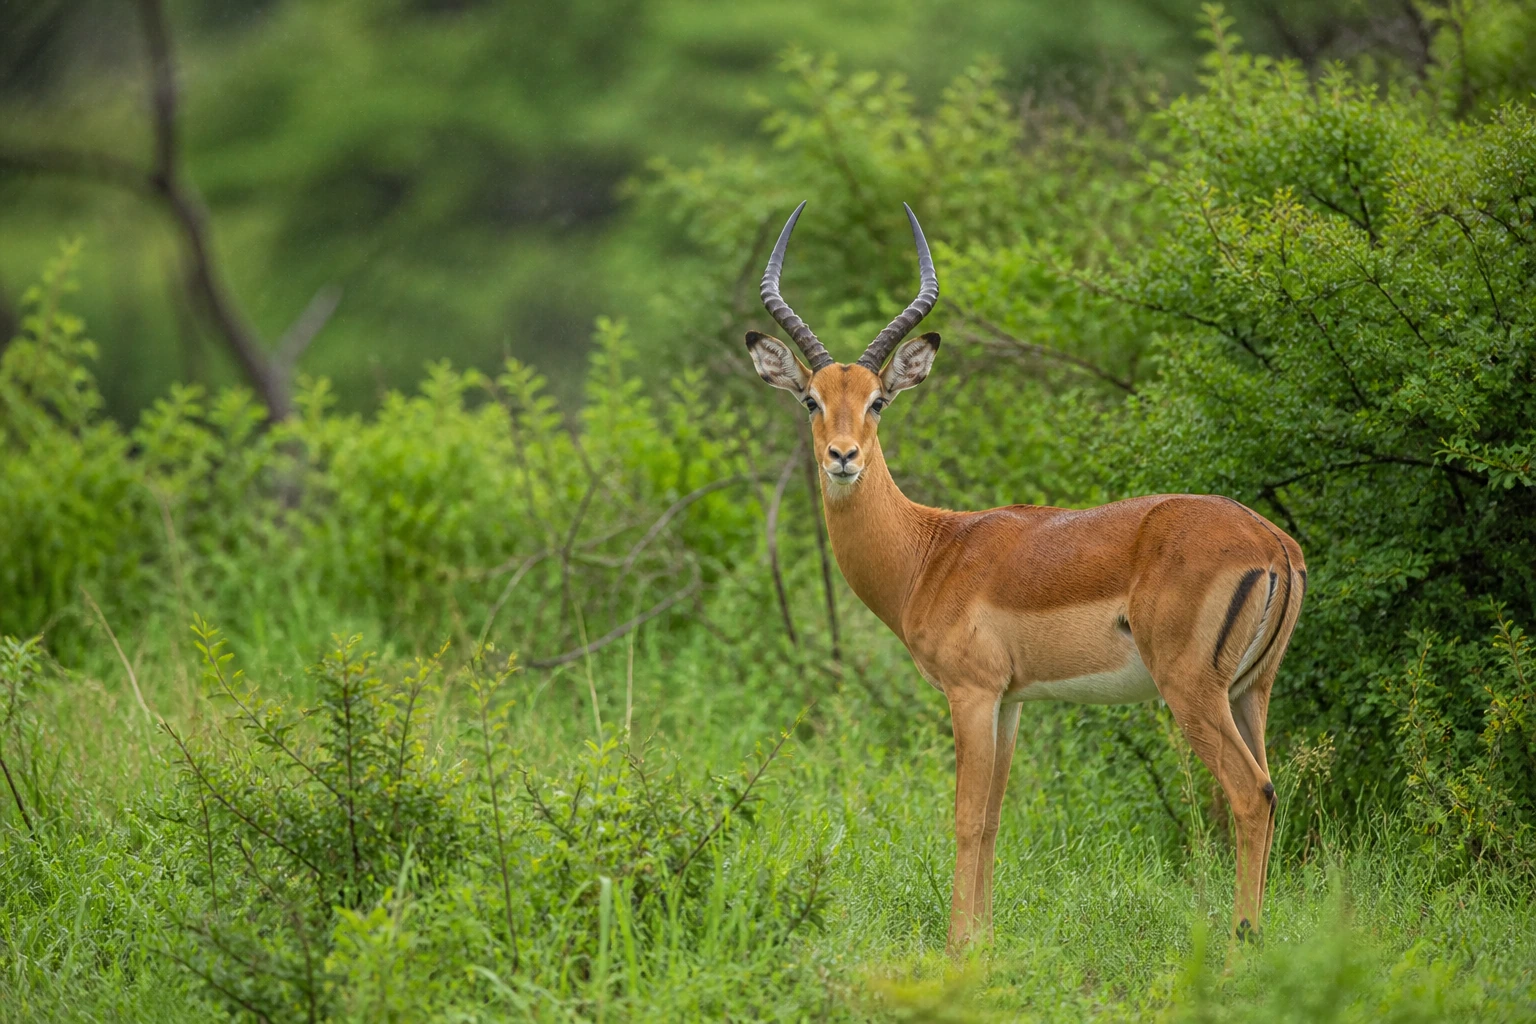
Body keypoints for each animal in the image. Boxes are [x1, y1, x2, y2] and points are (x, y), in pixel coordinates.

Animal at [746, 202, 1305, 950]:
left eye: (877, 402)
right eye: (810, 399)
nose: (842, 457)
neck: (930, 550)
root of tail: (1273, 543)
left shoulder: (971, 692)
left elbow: (964, 817)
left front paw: (957, 945)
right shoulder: (1011, 701)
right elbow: (992, 820)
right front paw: (983, 940)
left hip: (1192, 689)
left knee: (1250, 793)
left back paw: (1241, 939)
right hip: (1251, 691)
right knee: (1269, 790)